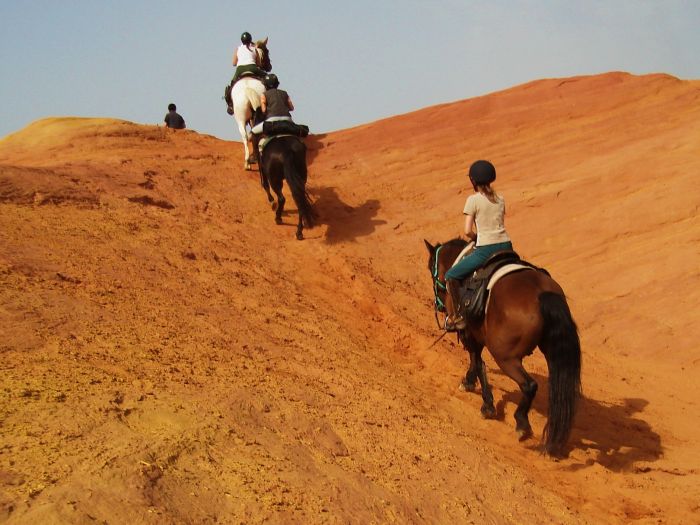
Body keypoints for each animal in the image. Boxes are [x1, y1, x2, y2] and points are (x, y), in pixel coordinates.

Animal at [231, 39, 272, 170]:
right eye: (267, 51)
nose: (269, 66)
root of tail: (248, 89)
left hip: (240, 118)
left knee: (245, 136)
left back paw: (248, 161)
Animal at [426, 237, 580, 454]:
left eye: (431, 268)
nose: (439, 305)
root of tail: (542, 293)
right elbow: (476, 360)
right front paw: (471, 383)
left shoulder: (469, 332)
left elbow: (477, 361)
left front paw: (486, 403)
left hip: (505, 357)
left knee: (529, 385)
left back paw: (522, 424)